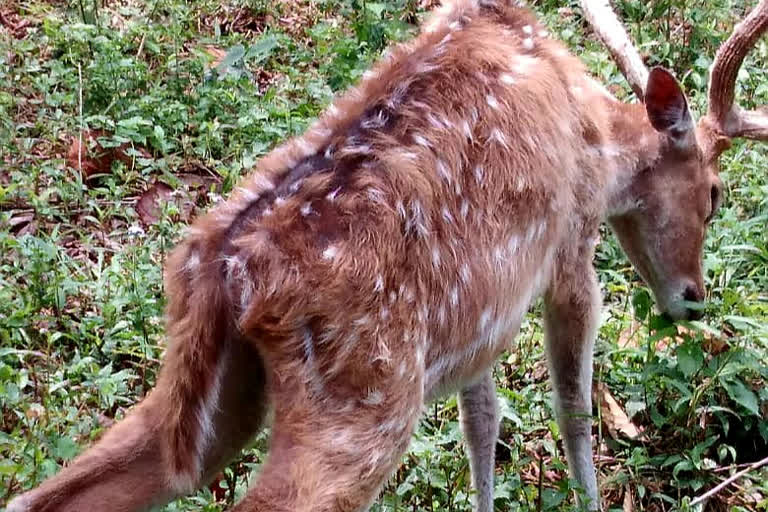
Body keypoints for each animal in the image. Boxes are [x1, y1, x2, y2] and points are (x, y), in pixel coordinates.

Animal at [7, 0, 768, 510]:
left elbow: (482, 421)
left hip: (205, 392)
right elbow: (572, 410)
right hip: (364, 406)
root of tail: (225, 273)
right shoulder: (569, 247)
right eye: (714, 194)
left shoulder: (478, 317)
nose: (693, 298)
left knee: (60, 491)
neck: (599, 135)